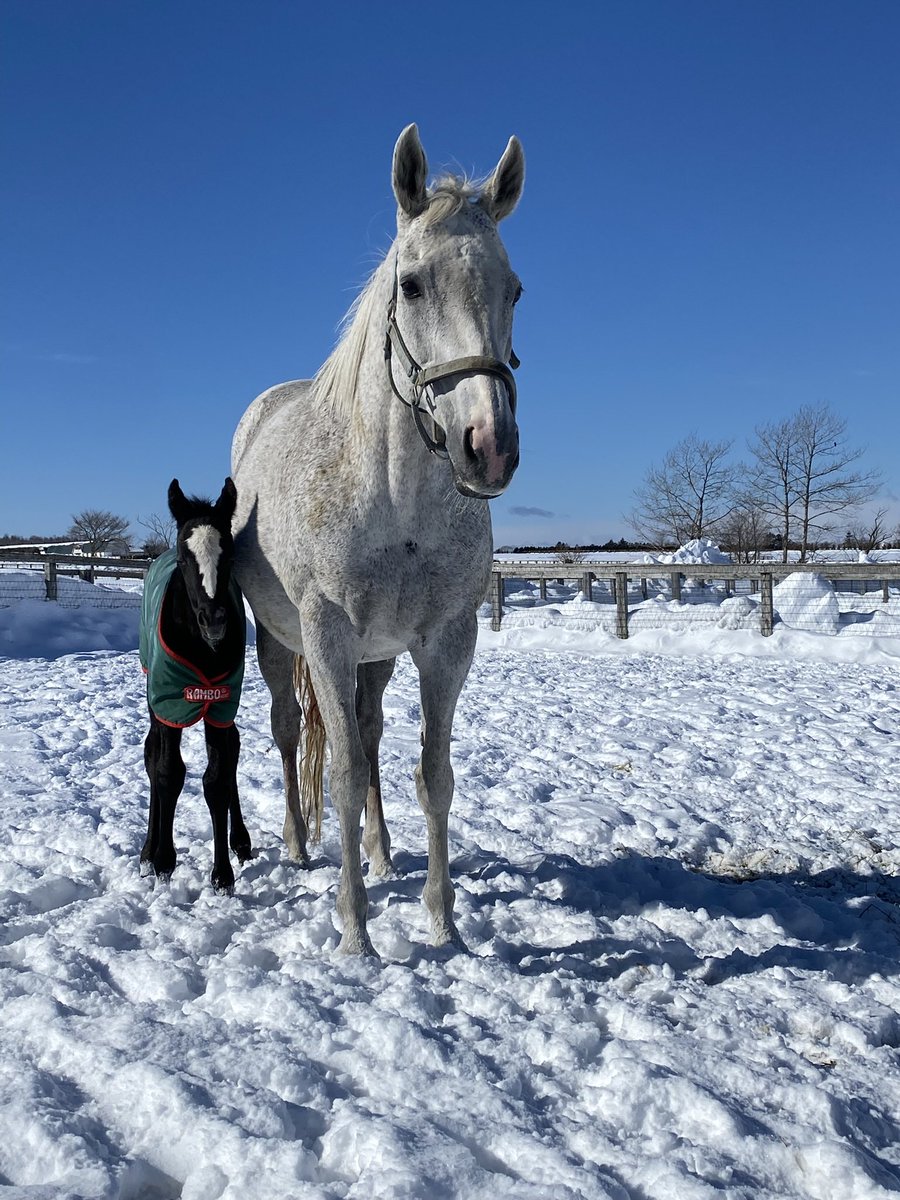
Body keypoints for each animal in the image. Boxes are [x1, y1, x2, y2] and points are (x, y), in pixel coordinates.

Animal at [140, 478, 251, 892]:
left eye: (230, 555)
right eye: (185, 560)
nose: (214, 621)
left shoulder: (220, 704)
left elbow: (217, 779)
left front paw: (222, 875)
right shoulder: (168, 703)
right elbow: (168, 773)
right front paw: (162, 860)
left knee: (232, 753)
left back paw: (242, 840)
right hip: (154, 698)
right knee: (152, 757)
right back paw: (147, 851)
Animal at [231, 124, 524, 954]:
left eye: (514, 290)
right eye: (413, 285)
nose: (489, 448)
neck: (398, 505)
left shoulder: (445, 642)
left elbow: (433, 775)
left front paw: (442, 922)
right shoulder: (328, 637)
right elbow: (343, 774)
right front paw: (355, 932)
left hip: (378, 657)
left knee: (367, 732)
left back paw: (383, 851)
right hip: (280, 642)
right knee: (290, 734)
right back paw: (301, 846)